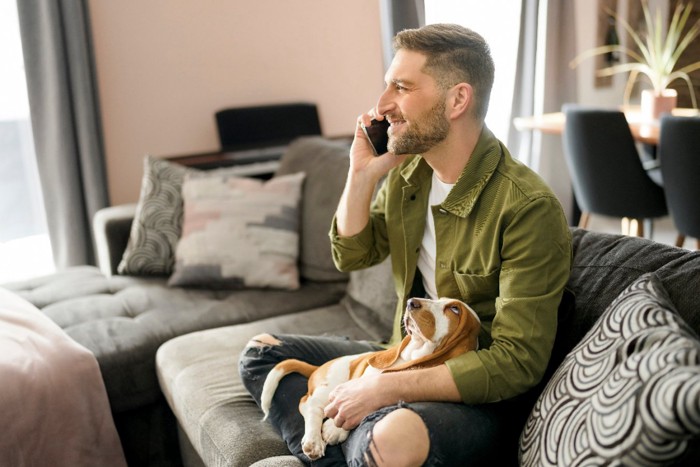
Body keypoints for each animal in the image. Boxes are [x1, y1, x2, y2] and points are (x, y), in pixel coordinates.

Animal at [258, 296, 482, 460]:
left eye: (454, 310)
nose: (411, 302)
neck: (413, 356)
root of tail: (320, 367)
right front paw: (333, 428)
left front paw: (334, 428)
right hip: (329, 386)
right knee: (309, 404)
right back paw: (313, 440)